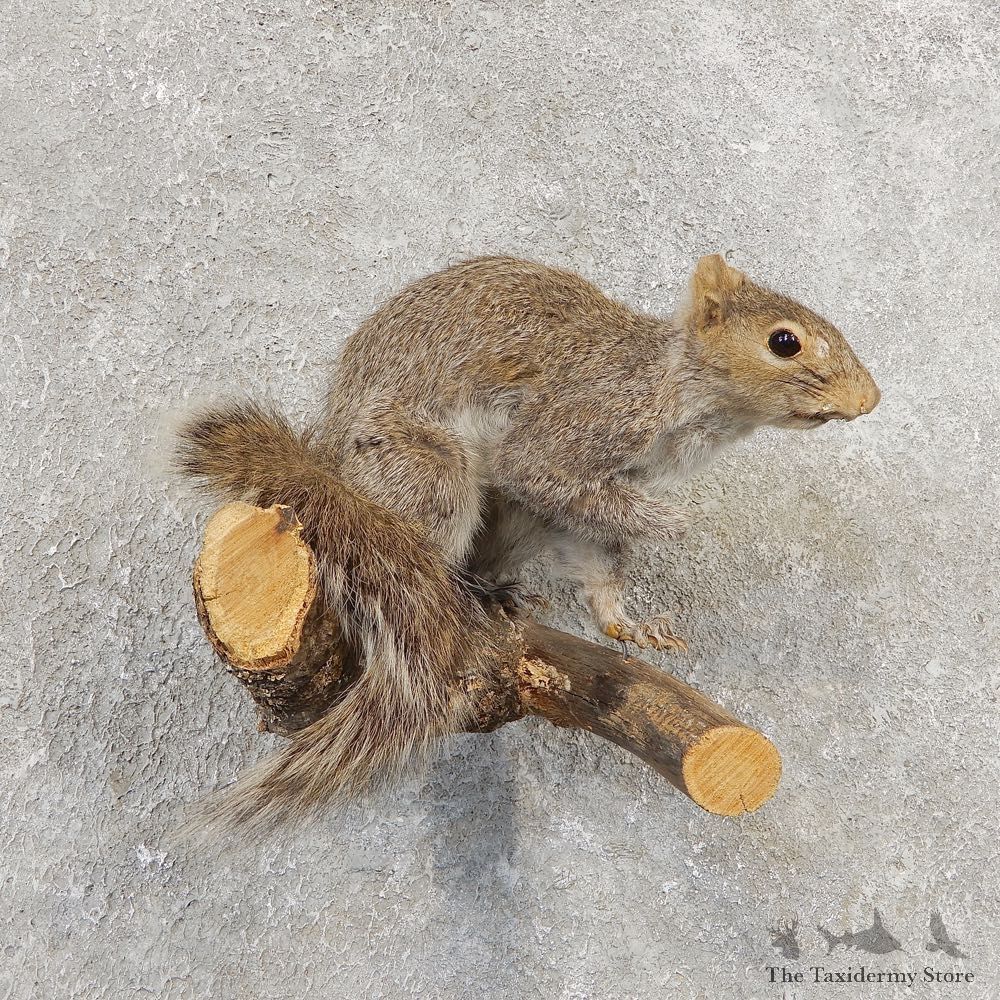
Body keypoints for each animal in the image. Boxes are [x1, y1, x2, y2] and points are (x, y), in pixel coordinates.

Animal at [177, 253, 879, 833]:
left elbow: (598, 558)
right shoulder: (582, 423)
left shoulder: (589, 506)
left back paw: (498, 589)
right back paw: (454, 590)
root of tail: (330, 476)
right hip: (429, 477)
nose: (870, 400)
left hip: (516, 523)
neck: (677, 390)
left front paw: (627, 623)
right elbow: (535, 468)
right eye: (783, 341)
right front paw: (673, 521)